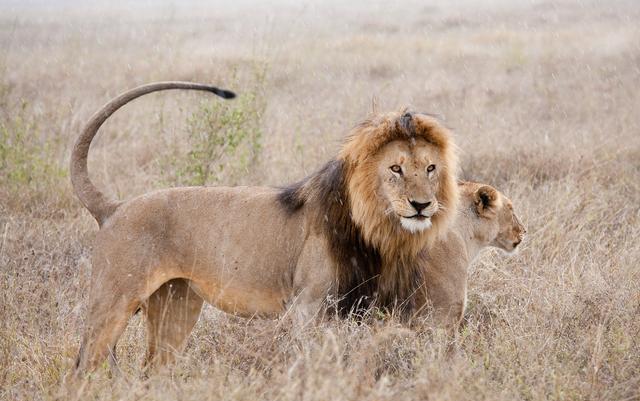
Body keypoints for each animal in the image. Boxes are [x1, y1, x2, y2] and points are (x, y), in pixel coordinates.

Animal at [69, 81, 460, 376]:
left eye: (430, 168)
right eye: (395, 169)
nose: (422, 205)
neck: (375, 228)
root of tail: (114, 207)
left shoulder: (364, 308)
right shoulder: (309, 308)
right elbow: (317, 362)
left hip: (176, 304)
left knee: (153, 370)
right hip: (113, 300)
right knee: (81, 369)